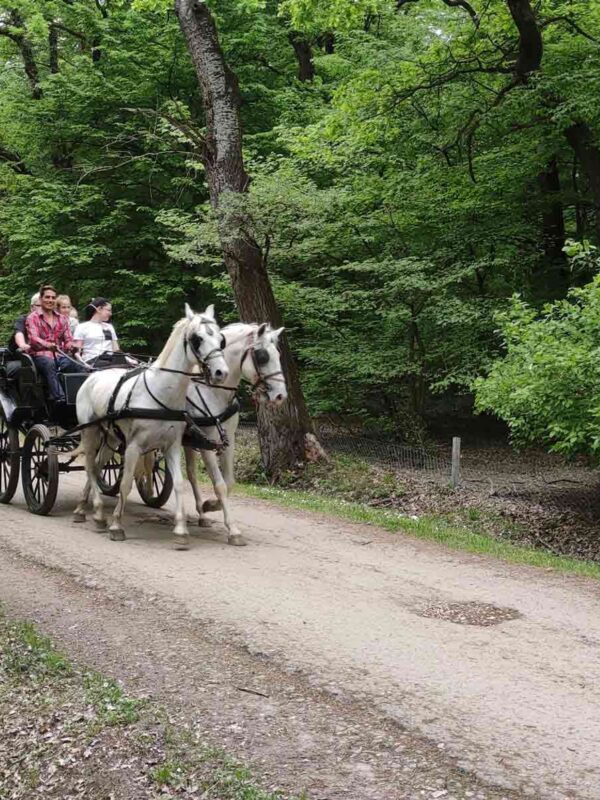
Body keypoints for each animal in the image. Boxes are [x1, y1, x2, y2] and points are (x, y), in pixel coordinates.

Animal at [72, 304, 227, 548]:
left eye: (221, 339)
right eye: (197, 339)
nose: (221, 372)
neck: (161, 393)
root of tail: (92, 376)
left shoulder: (172, 446)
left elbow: (179, 483)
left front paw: (181, 530)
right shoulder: (133, 446)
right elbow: (126, 484)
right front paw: (117, 525)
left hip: (111, 437)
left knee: (96, 467)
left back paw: (88, 510)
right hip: (90, 430)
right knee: (88, 465)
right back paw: (93, 510)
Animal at [184, 322, 288, 548]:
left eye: (278, 353)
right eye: (262, 356)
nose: (280, 395)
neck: (213, 391)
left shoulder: (229, 440)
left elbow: (230, 482)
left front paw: (209, 506)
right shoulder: (206, 443)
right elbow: (220, 485)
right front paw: (233, 530)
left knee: (191, 473)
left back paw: (202, 515)